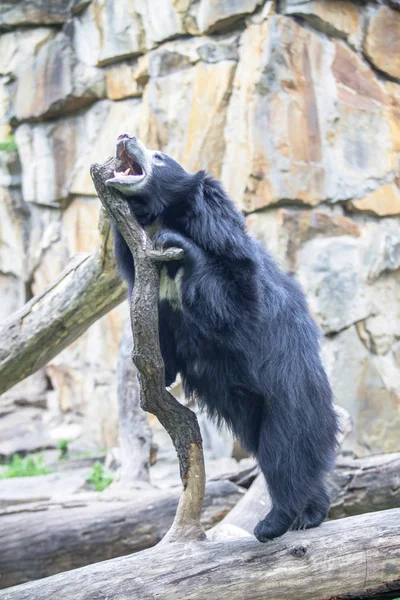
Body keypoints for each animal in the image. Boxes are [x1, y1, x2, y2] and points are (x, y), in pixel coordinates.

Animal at [106, 134, 338, 540]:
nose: (124, 137)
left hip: (291, 395)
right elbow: (160, 333)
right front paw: (157, 374)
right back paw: (311, 514)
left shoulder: (221, 240)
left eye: (160, 156)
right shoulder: (145, 284)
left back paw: (275, 522)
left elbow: (235, 299)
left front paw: (176, 244)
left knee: (284, 454)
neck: (158, 221)